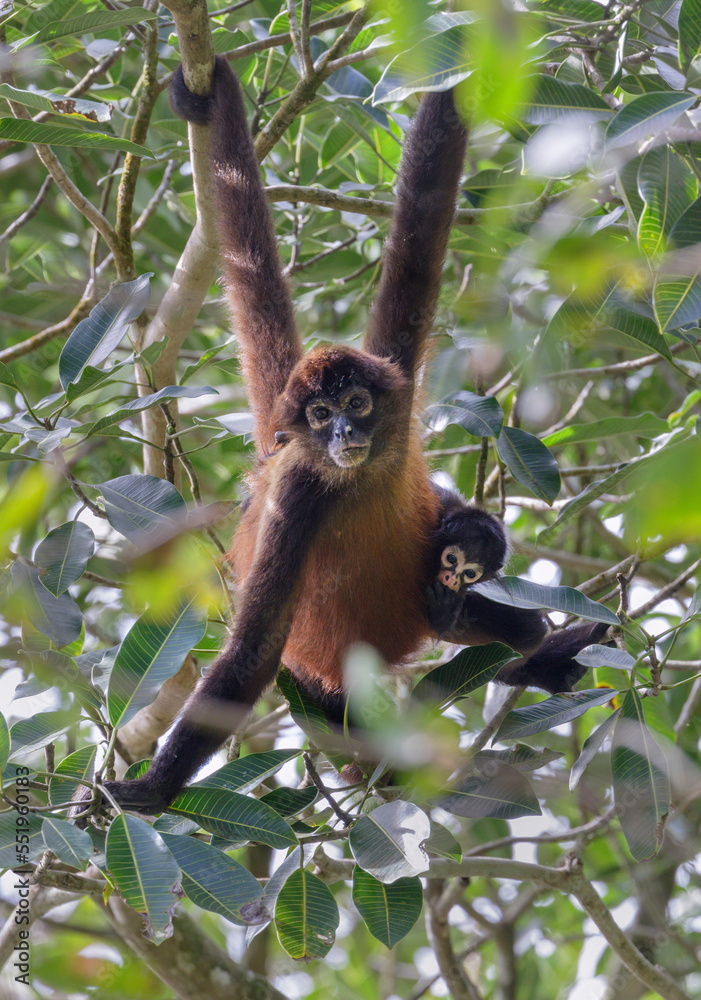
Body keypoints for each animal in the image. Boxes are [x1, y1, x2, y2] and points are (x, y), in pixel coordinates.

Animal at [96, 57, 609, 814]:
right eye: (319, 415)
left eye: (357, 403)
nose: (340, 429)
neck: (355, 473)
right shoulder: (299, 490)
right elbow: (253, 651)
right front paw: (152, 791)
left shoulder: (395, 396)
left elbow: (425, 207)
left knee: (504, 620)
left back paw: (532, 660)